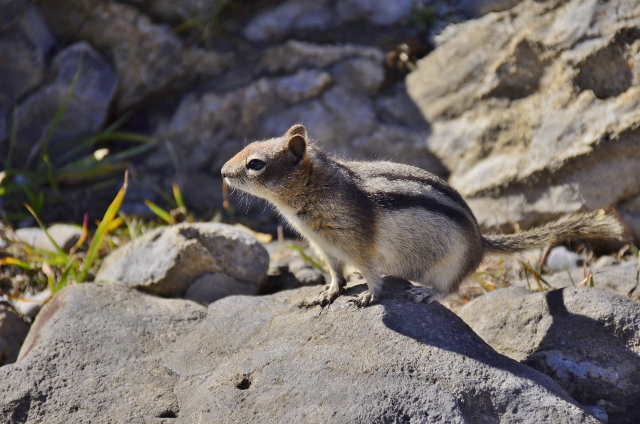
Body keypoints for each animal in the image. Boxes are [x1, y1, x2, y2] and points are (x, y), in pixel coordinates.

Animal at [221, 124, 624, 306]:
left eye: (255, 164)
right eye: (248, 146)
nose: (223, 172)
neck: (314, 193)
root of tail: (481, 242)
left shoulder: (358, 244)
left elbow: (371, 274)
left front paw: (369, 296)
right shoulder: (327, 248)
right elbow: (336, 274)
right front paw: (326, 293)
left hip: (450, 266)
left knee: (450, 289)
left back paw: (426, 293)